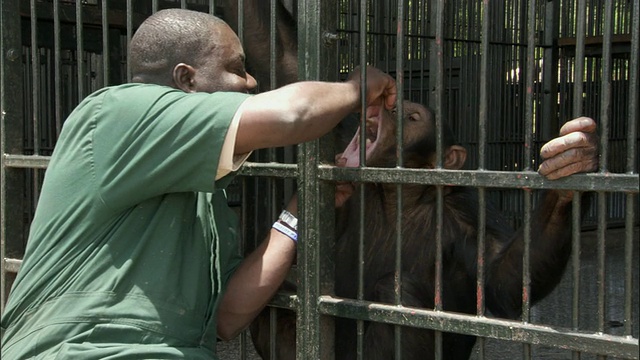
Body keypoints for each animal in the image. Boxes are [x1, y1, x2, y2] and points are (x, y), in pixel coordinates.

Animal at [250, 99, 600, 360]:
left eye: (413, 117)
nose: (389, 109)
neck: (400, 195)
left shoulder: (468, 215)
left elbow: (504, 280)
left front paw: (572, 163)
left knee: (397, 292)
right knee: (279, 293)